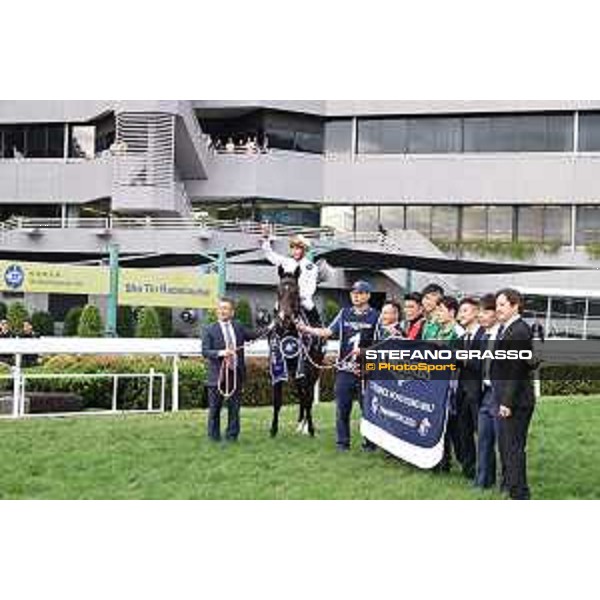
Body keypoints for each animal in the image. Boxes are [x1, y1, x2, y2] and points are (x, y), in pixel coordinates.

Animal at [268, 266, 324, 436]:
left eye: (296, 291)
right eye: (278, 291)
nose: (284, 318)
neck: (288, 331)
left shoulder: (307, 369)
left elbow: (308, 398)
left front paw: (311, 429)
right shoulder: (278, 366)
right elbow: (277, 400)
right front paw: (273, 429)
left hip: (313, 370)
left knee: (307, 396)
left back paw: (304, 426)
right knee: (301, 394)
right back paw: (300, 423)